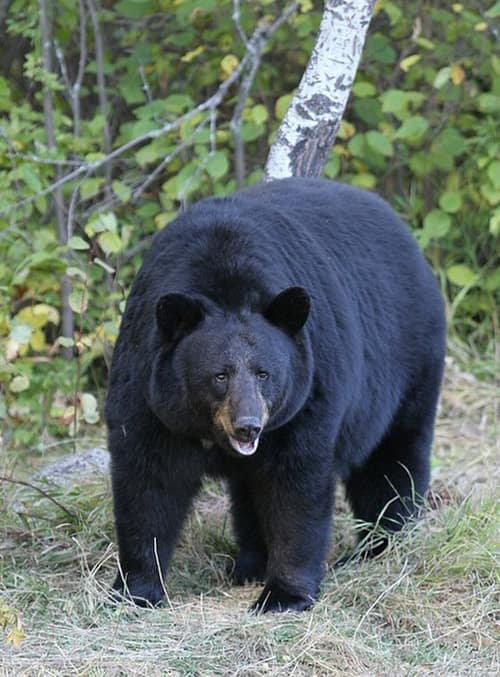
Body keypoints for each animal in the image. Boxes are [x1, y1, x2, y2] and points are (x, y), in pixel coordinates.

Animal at [105, 177, 446, 613]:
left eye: (264, 374)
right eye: (219, 375)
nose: (248, 426)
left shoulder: (308, 394)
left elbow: (295, 485)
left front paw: (283, 595)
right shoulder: (148, 390)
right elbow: (148, 481)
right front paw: (136, 590)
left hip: (408, 364)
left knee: (391, 460)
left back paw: (381, 545)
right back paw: (249, 563)